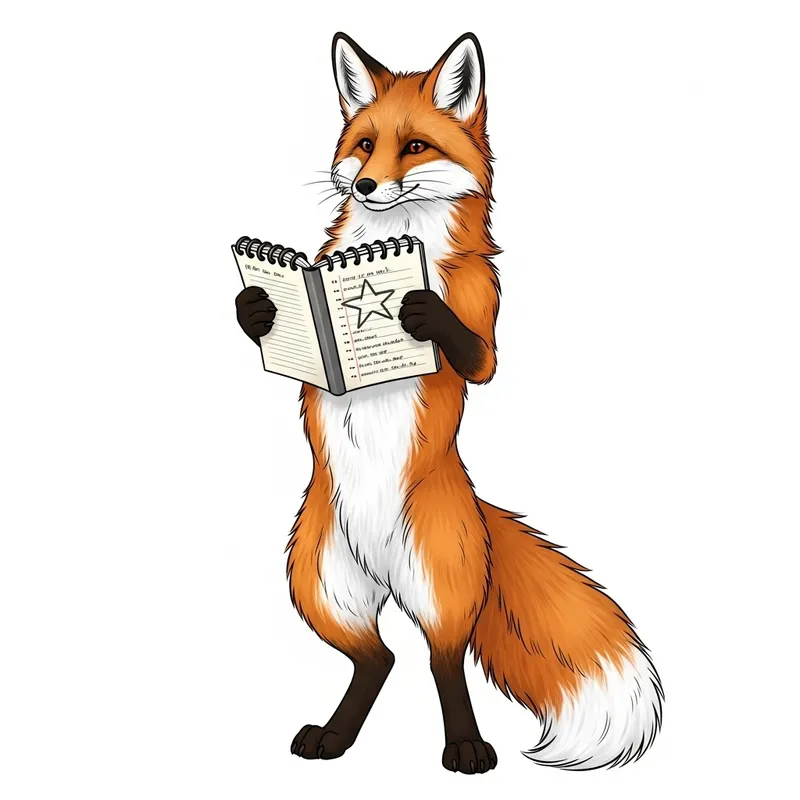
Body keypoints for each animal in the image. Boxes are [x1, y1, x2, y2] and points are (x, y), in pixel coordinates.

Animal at [235, 32, 663, 774]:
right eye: (365, 143)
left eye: (414, 147)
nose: (364, 185)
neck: (408, 245)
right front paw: (257, 304)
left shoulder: (485, 316)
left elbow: (475, 354)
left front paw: (421, 309)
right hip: (321, 592)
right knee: (378, 659)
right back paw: (335, 738)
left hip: (441, 590)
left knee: (441, 661)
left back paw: (464, 745)